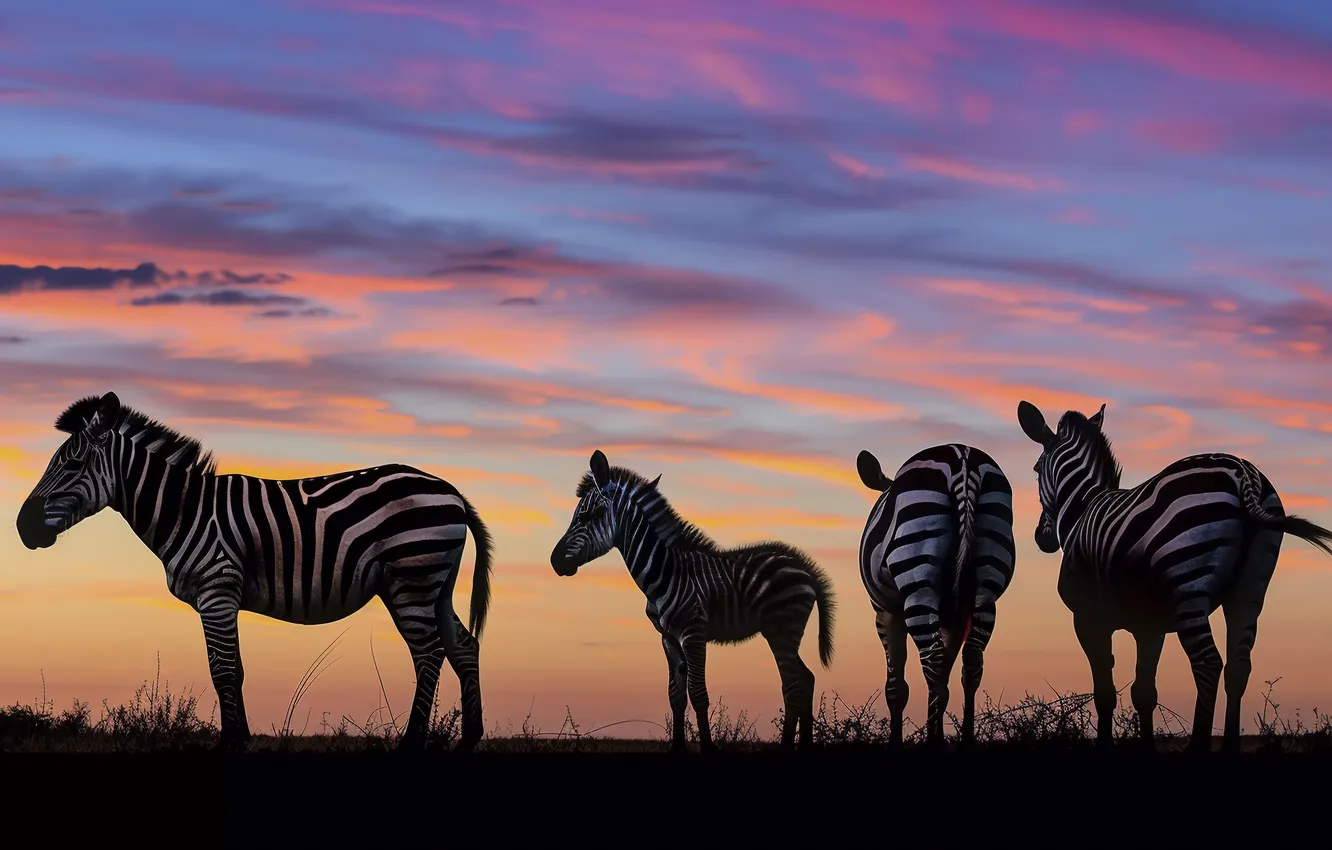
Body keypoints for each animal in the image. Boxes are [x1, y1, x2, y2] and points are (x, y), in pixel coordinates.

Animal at [15, 391, 494, 753]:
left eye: (72, 465)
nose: (22, 528)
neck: (184, 511)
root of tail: (451, 490)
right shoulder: (222, 598)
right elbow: (236, 668)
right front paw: (239, 738)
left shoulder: (217, 590)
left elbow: (223, 670)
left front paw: (230, 743)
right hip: (433, 586)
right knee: (463, 646)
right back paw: (468, 740)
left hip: (411, 579)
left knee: (429, 654)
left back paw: (412, 744)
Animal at [550, 449, 836, 753]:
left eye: (590, 515)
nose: (554, 561)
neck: (665, 570)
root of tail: (804, 566)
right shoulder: (668, 638)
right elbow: (675, 695)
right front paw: (677, 748)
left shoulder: (693, 634)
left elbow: (698, 693)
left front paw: (708, 748)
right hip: (785, 634)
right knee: (805, 679)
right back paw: (803, 746)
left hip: (781, 629)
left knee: (794, 686)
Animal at [856, 444, 1016, 749]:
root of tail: (963, 460)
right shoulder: (955, 618)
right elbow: (943, 683)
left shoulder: (886, 611)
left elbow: (896, 686)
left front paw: (898, 742)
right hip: (987, 585)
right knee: (971, 661)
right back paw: (966, 739)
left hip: (918, 582)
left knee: (933, 659)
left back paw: (934, 742)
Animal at [1016, 399, 1332, 753]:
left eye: (1035, 470)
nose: (1042, 539)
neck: (1083, 507)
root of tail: (1244, 473)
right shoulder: (1149, 626)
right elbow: (1143, 692)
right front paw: (1147, 749)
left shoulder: (1087, 617)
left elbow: (1105, 693)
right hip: (1249, 591)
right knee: (1238, 666)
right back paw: (1229, 748)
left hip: (1188, 588)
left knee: (1208, 663)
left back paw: (1198, 746)